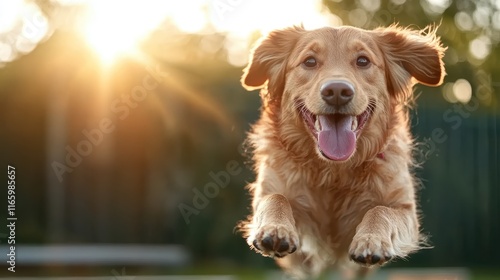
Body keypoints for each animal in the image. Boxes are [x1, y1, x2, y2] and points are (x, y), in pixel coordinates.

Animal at [237, 24, 446, 278]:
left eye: (363, 61)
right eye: (309, 61)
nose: (337, 90)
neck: (334, 171)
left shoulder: (405, 211)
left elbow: (379, 210)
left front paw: (371, 240)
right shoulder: (274, 194)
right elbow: (275, 198)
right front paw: (275, 228)